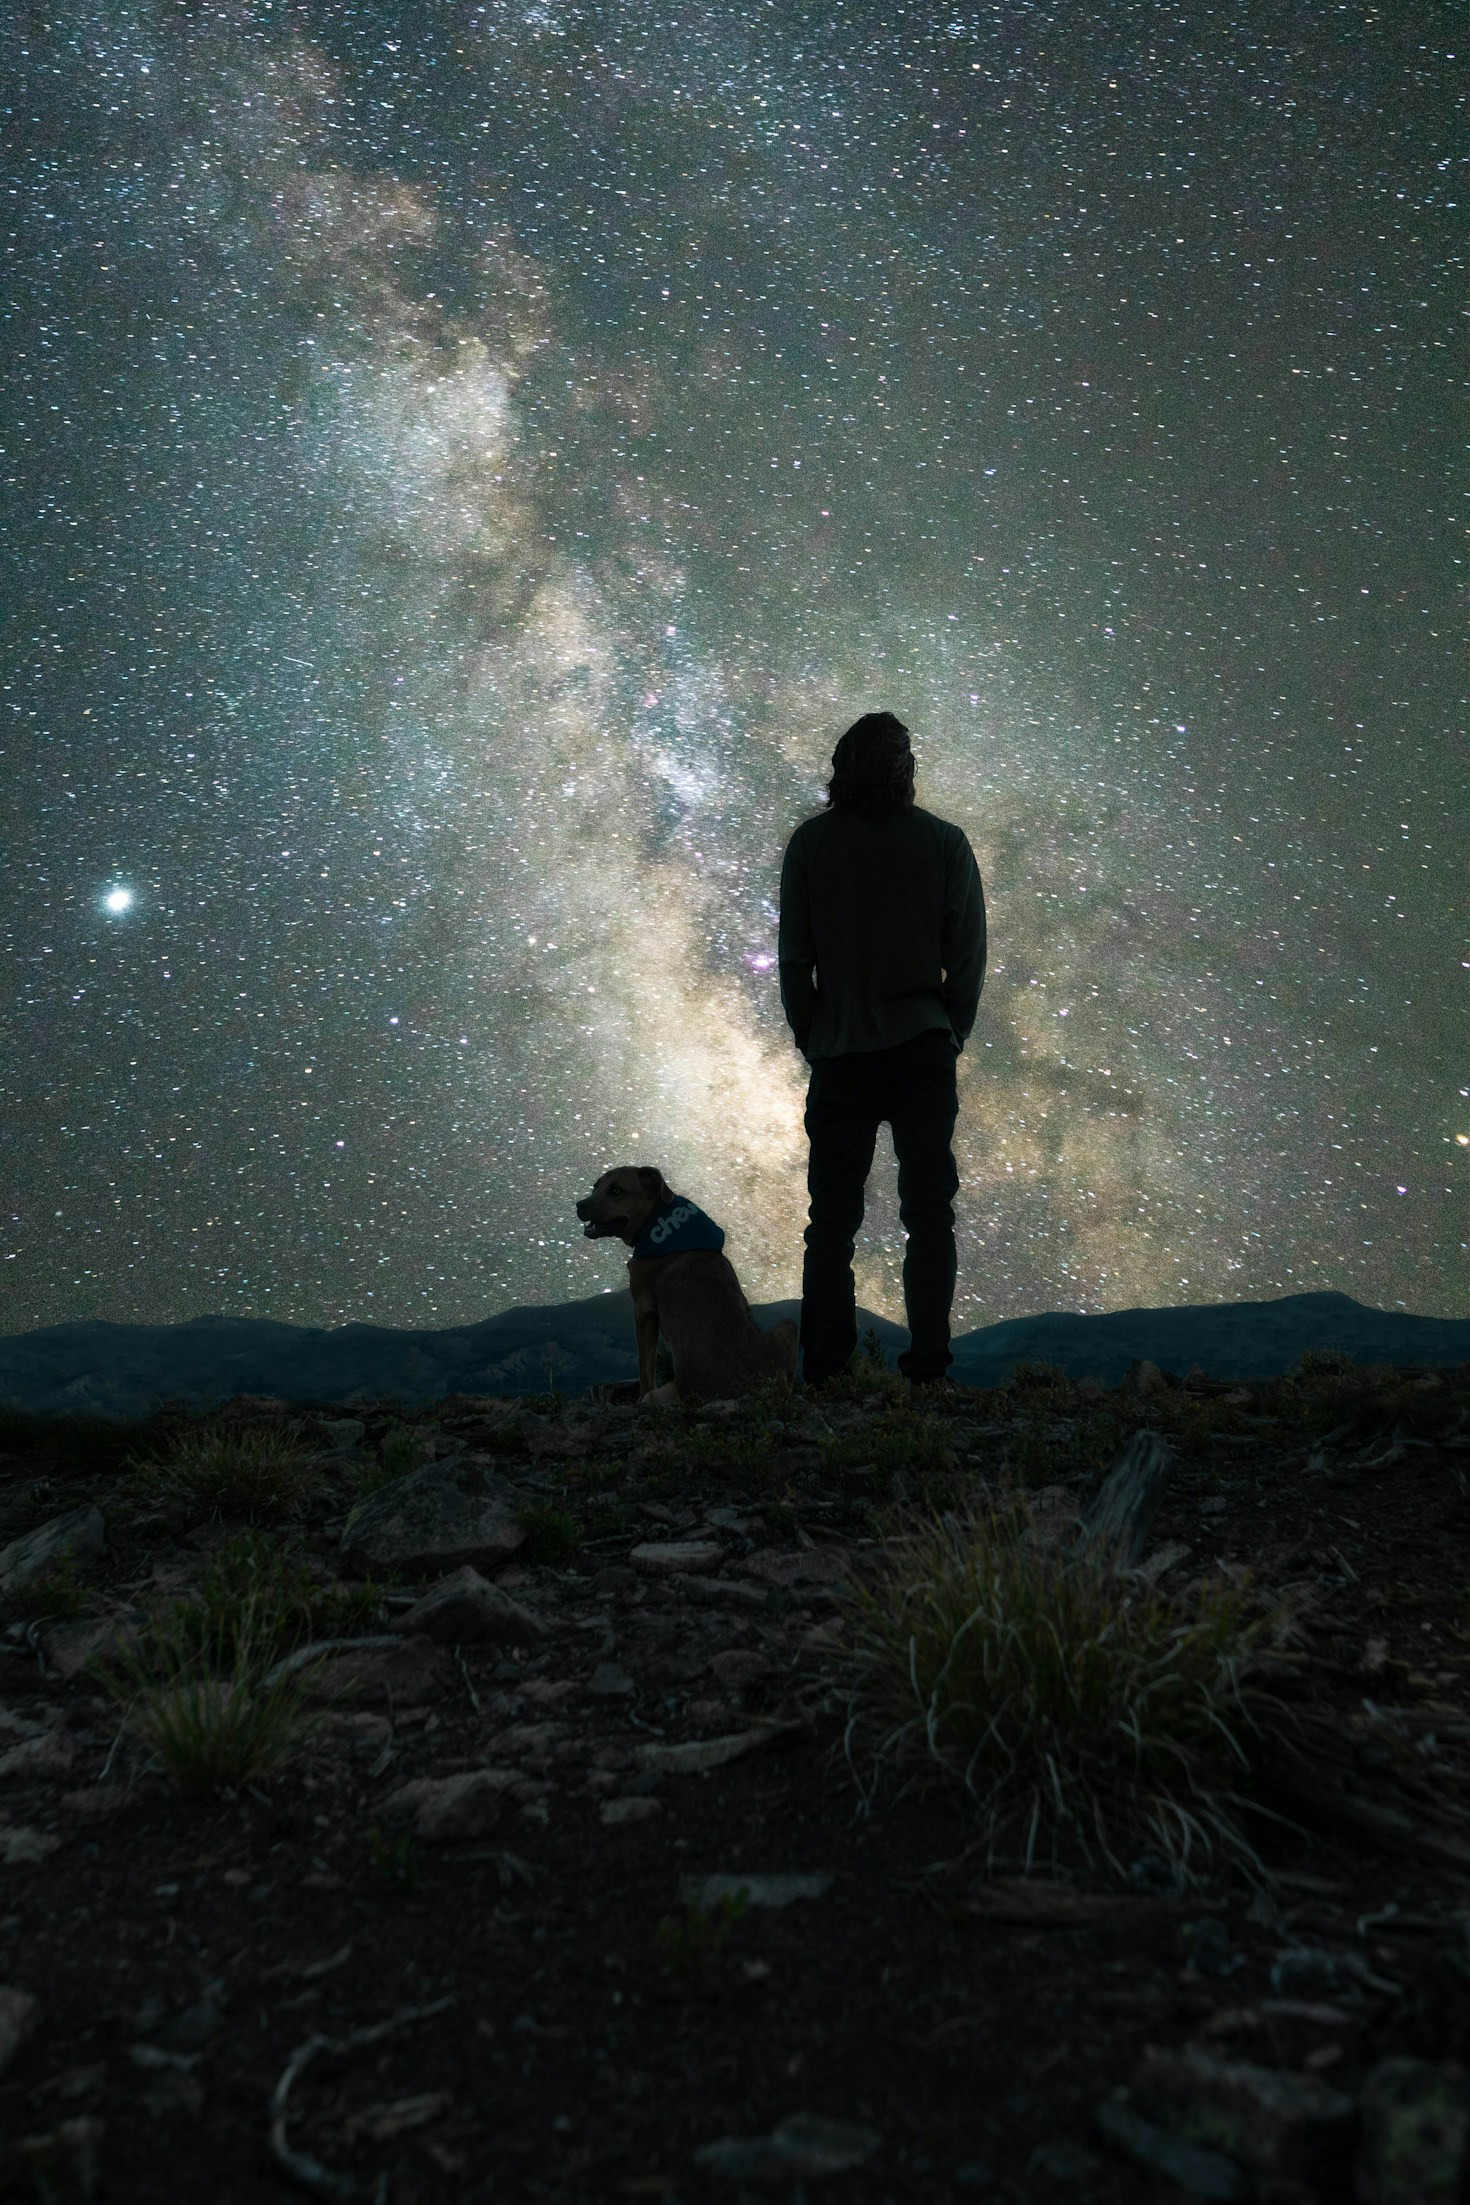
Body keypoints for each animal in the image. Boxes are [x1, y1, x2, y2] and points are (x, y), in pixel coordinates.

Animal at [581, 1164, 797, 1402]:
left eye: (617, 1190)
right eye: (595, 1186)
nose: (579, 1205)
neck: (656, 1220)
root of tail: (757, 1390)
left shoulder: (644, 1311)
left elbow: (646, 1370)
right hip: (788, 1326)